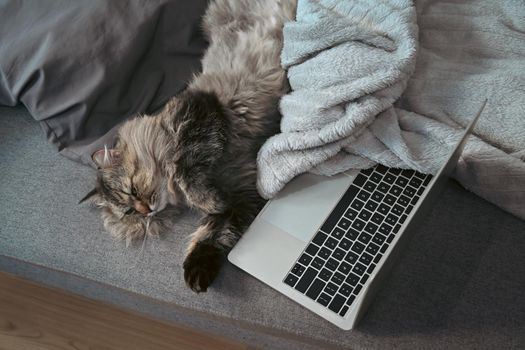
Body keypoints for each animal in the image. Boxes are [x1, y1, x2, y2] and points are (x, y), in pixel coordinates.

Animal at [80, 0, 296, 292]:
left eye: (133, 190)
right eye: (129, 211)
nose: (146, 211)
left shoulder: (199, 116)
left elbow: (186, 168)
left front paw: (208, 200)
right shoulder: (243, 194)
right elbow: (216, 233)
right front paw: (197, 271)